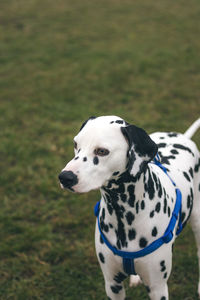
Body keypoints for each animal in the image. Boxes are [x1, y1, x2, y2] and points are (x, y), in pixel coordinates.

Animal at [58, 116, 200, 298]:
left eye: (102, 151)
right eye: (76, 144)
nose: (64, 177)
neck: (123, 214)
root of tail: (183, 137)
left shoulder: (157, 288)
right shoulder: (112, 284)